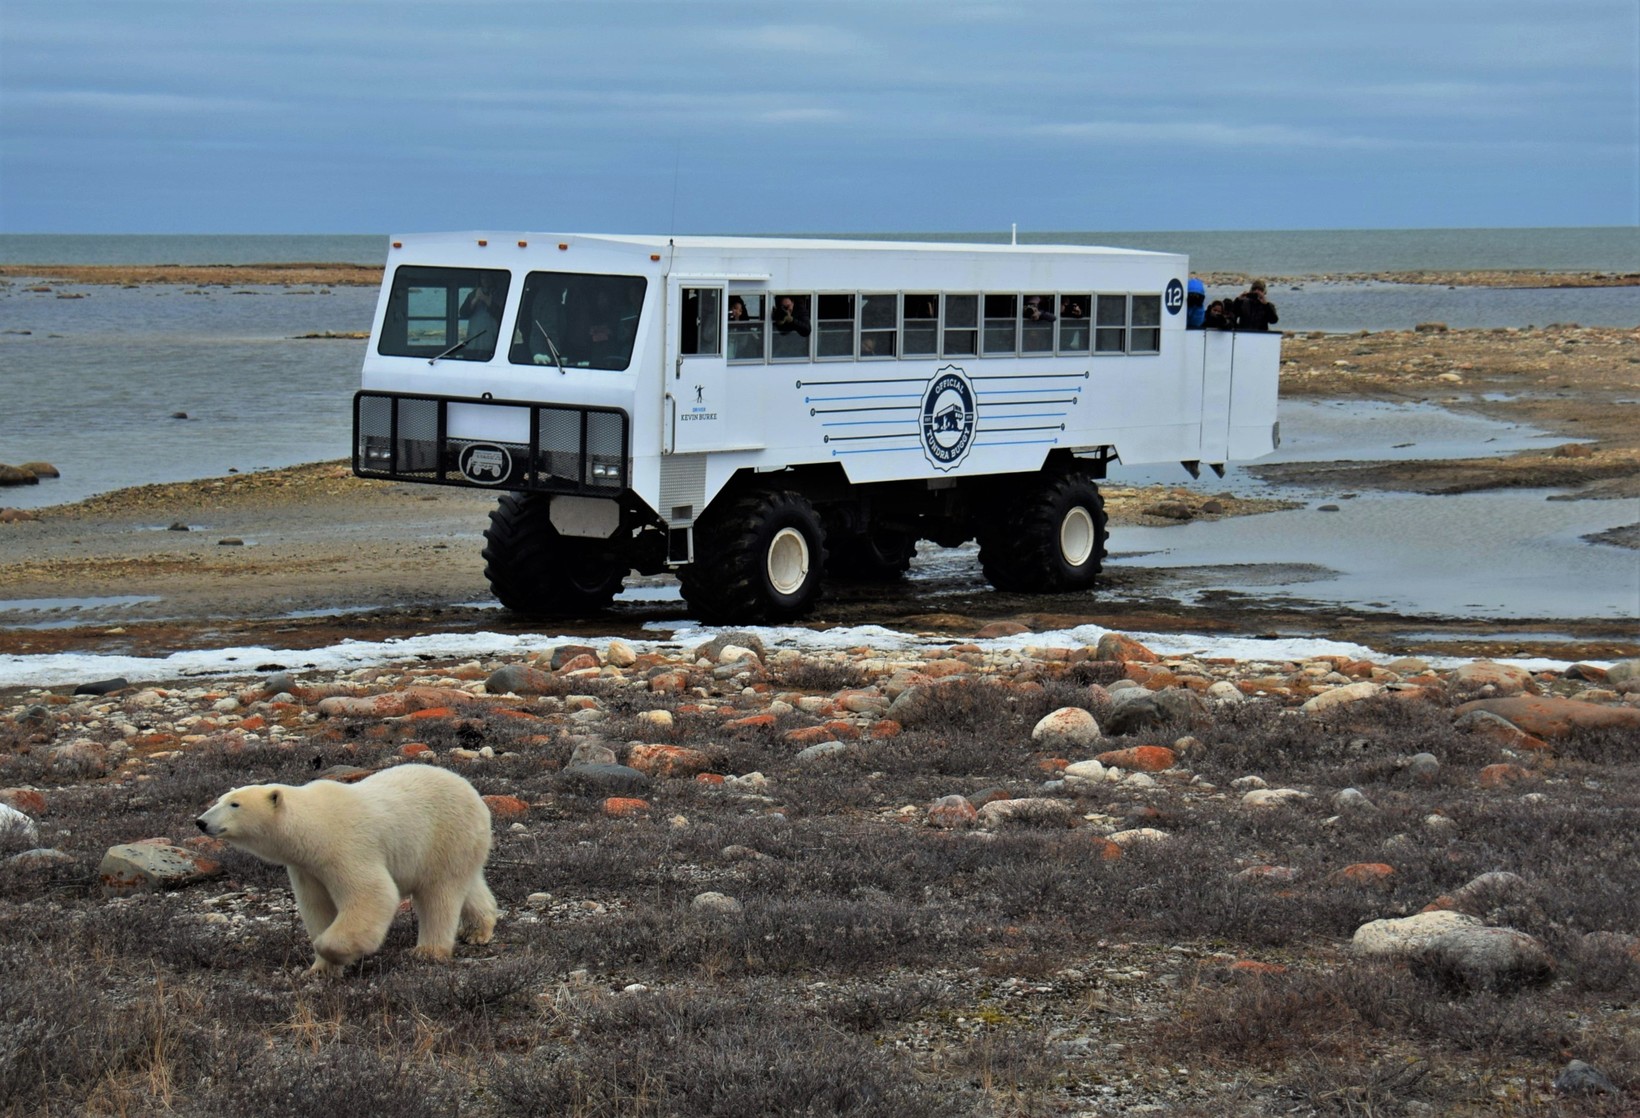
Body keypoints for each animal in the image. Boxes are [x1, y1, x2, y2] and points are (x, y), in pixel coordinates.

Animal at [197, 767, 495, 963]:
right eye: (220, 800)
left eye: (235, 804)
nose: (200, 822)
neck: (314, 826)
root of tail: (476, 796)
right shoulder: (306, 868)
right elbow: (317, 907)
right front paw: (319, 969)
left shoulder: (345, 848)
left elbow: (372, 894)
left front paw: (331, 950)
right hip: (461, 847)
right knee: (468, 886)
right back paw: (478, 931)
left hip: (444, 836)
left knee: (439, 895)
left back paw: (429, 951)